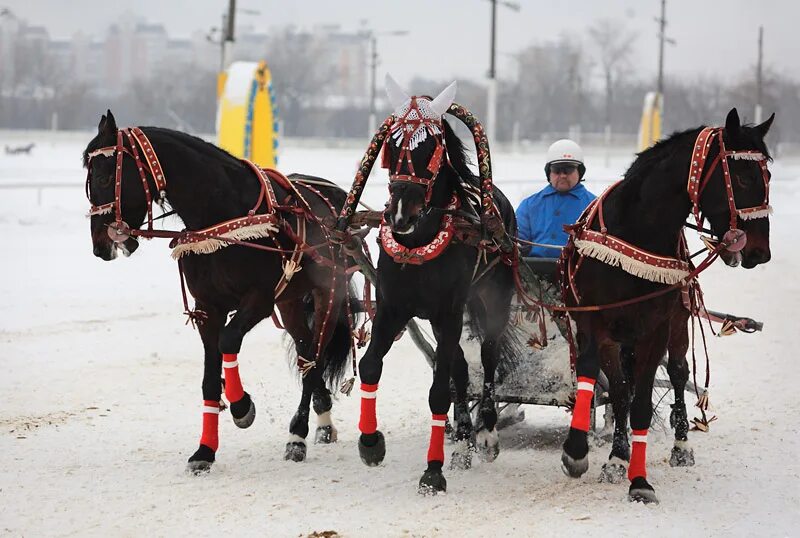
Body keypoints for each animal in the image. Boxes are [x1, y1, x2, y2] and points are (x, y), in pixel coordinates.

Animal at [83, 110, 354, 468]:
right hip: (292, 302)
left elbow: (229, 340)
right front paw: (205, 450)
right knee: (306, 354)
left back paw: (297, 435)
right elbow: (209, 379)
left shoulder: (258, 300)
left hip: (329, 293)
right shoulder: (206, 307)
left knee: (316, 359)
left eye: (103, 179)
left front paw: (241, 406)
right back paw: (322, 421)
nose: (100, 244)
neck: (223, 218)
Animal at [358, 77, 524, 492]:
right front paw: (371, 443)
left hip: (491, 301)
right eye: (392, 146)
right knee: (460, 368)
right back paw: (463, 441)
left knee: (488, 359)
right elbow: (370, 366)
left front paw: (432, 472)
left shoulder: (449, 310)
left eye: (429, 147)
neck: (421, 240)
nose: (400, 214)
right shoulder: (394, 307)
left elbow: (438, 391)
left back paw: (486, 434)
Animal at [560, 109, 772, 502]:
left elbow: (642, 401)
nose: (759, 252)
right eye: (744, 176)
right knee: (623, 387)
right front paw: (583, 451)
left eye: (767, 176)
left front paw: (639, 480)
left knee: (677, 372)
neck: (637, 231)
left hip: (678, 321)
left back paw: (681, 443)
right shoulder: (593, 322)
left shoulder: (656, 327)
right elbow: (603, 383)